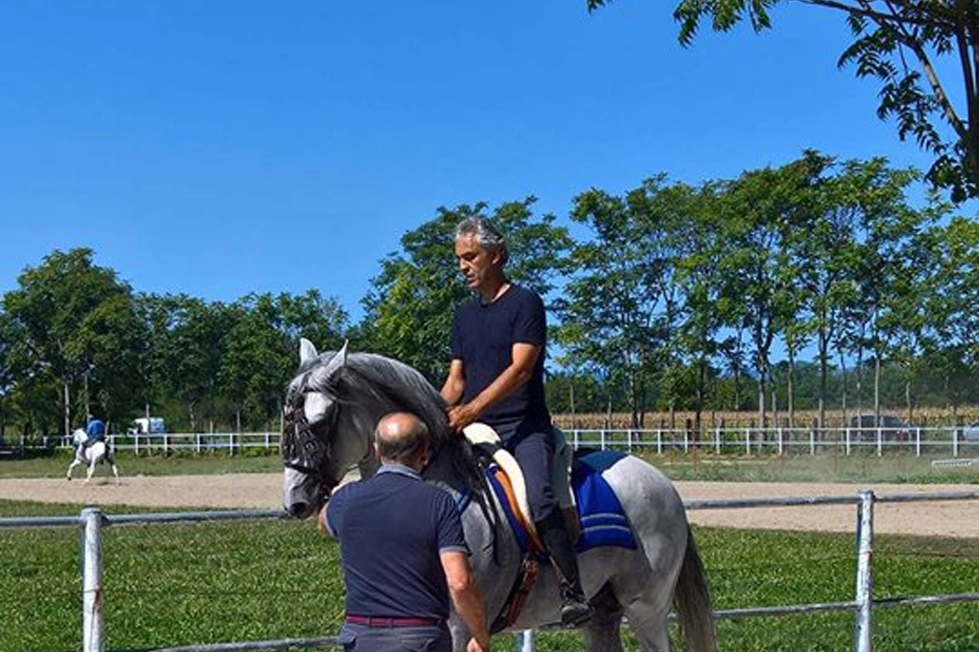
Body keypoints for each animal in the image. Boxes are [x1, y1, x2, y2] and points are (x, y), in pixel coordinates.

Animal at [280, 342, 716, 652]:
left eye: (319, 422)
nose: (295, 499)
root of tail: (662, 483)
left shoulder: (458, 627)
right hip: (603, 614)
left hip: (647, 611)